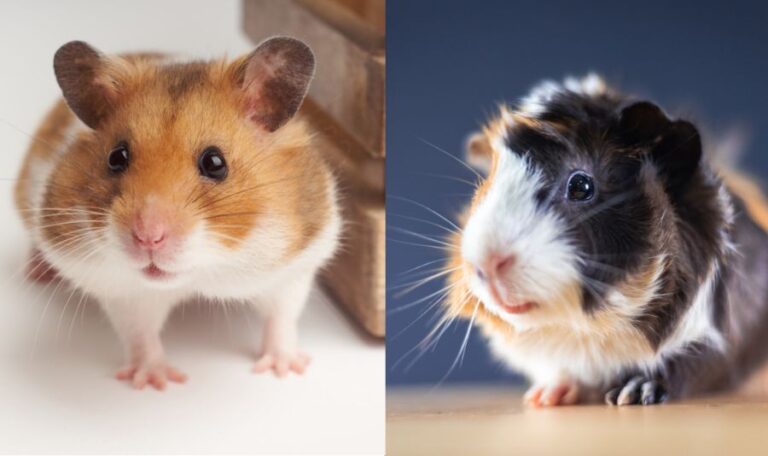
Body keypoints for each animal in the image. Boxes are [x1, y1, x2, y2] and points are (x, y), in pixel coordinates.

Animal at [14, 38, 341, 389]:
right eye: (116, 158)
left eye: (215, 162)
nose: (148, 237)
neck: (202, 272)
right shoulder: (123, 290)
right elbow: (140, 333)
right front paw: (156, 382)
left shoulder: (294, 267)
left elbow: (282, 317)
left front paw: (286, 370)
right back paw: (37, 272)